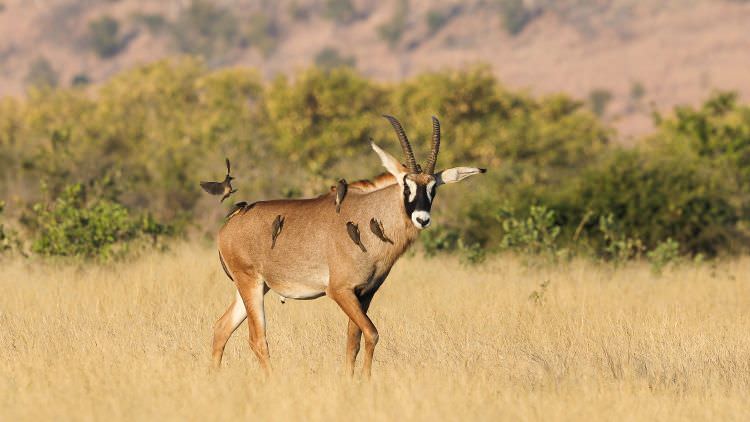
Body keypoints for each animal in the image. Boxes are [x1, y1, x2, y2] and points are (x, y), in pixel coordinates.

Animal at [213, 114, 488, 376]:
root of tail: (227, 227)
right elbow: (372, 333)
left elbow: (352, 342)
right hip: (251, 283)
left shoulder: (364, 294)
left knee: (221, 328)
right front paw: (366, 380)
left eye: (433, 188)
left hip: (257, 287)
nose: (422, 218)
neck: (370, 214)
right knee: (257, 339)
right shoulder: (340, 291)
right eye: (405, 185)